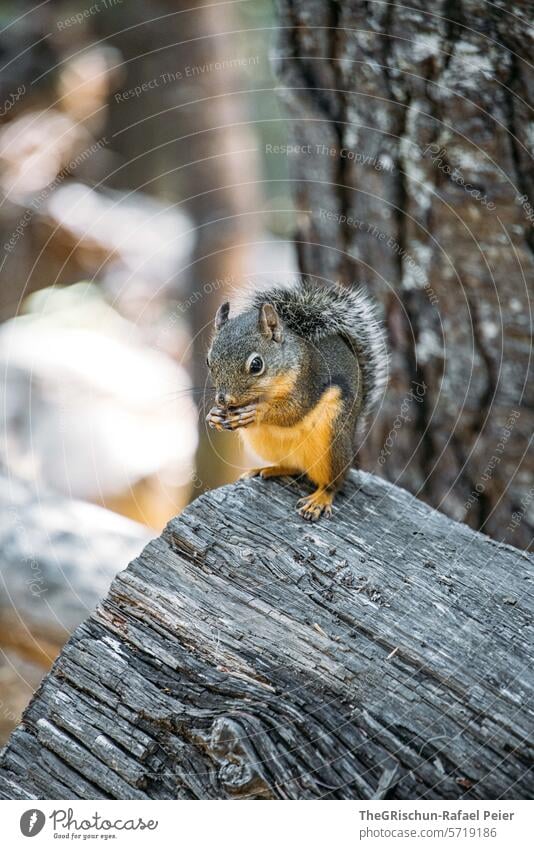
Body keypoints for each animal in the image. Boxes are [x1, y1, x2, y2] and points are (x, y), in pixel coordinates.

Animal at [206, 278, 390, 520]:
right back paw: (267, 469)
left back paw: (319, 499)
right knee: (296, 467)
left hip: (333, 440)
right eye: (208, 361)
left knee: (335, 482)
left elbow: (293, 412)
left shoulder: (307, 383)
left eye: (256, 365)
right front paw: (214, 416)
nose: (224, 400)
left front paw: (257, 411)